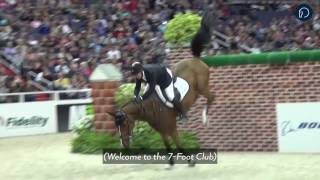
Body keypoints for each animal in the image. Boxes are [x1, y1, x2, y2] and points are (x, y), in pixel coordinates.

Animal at [110, 6, 218, 167]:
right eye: (116, 126)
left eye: (124, 124)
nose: (124, 145)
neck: (150, 107)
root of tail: (195, 59)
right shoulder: (162, 131)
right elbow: (167, 146)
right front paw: (171, 164)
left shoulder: (171, 128)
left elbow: (178, 144)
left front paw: (190, 162)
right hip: (198, 91)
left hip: (203, 87)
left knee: (211, 97)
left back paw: (205, 118)